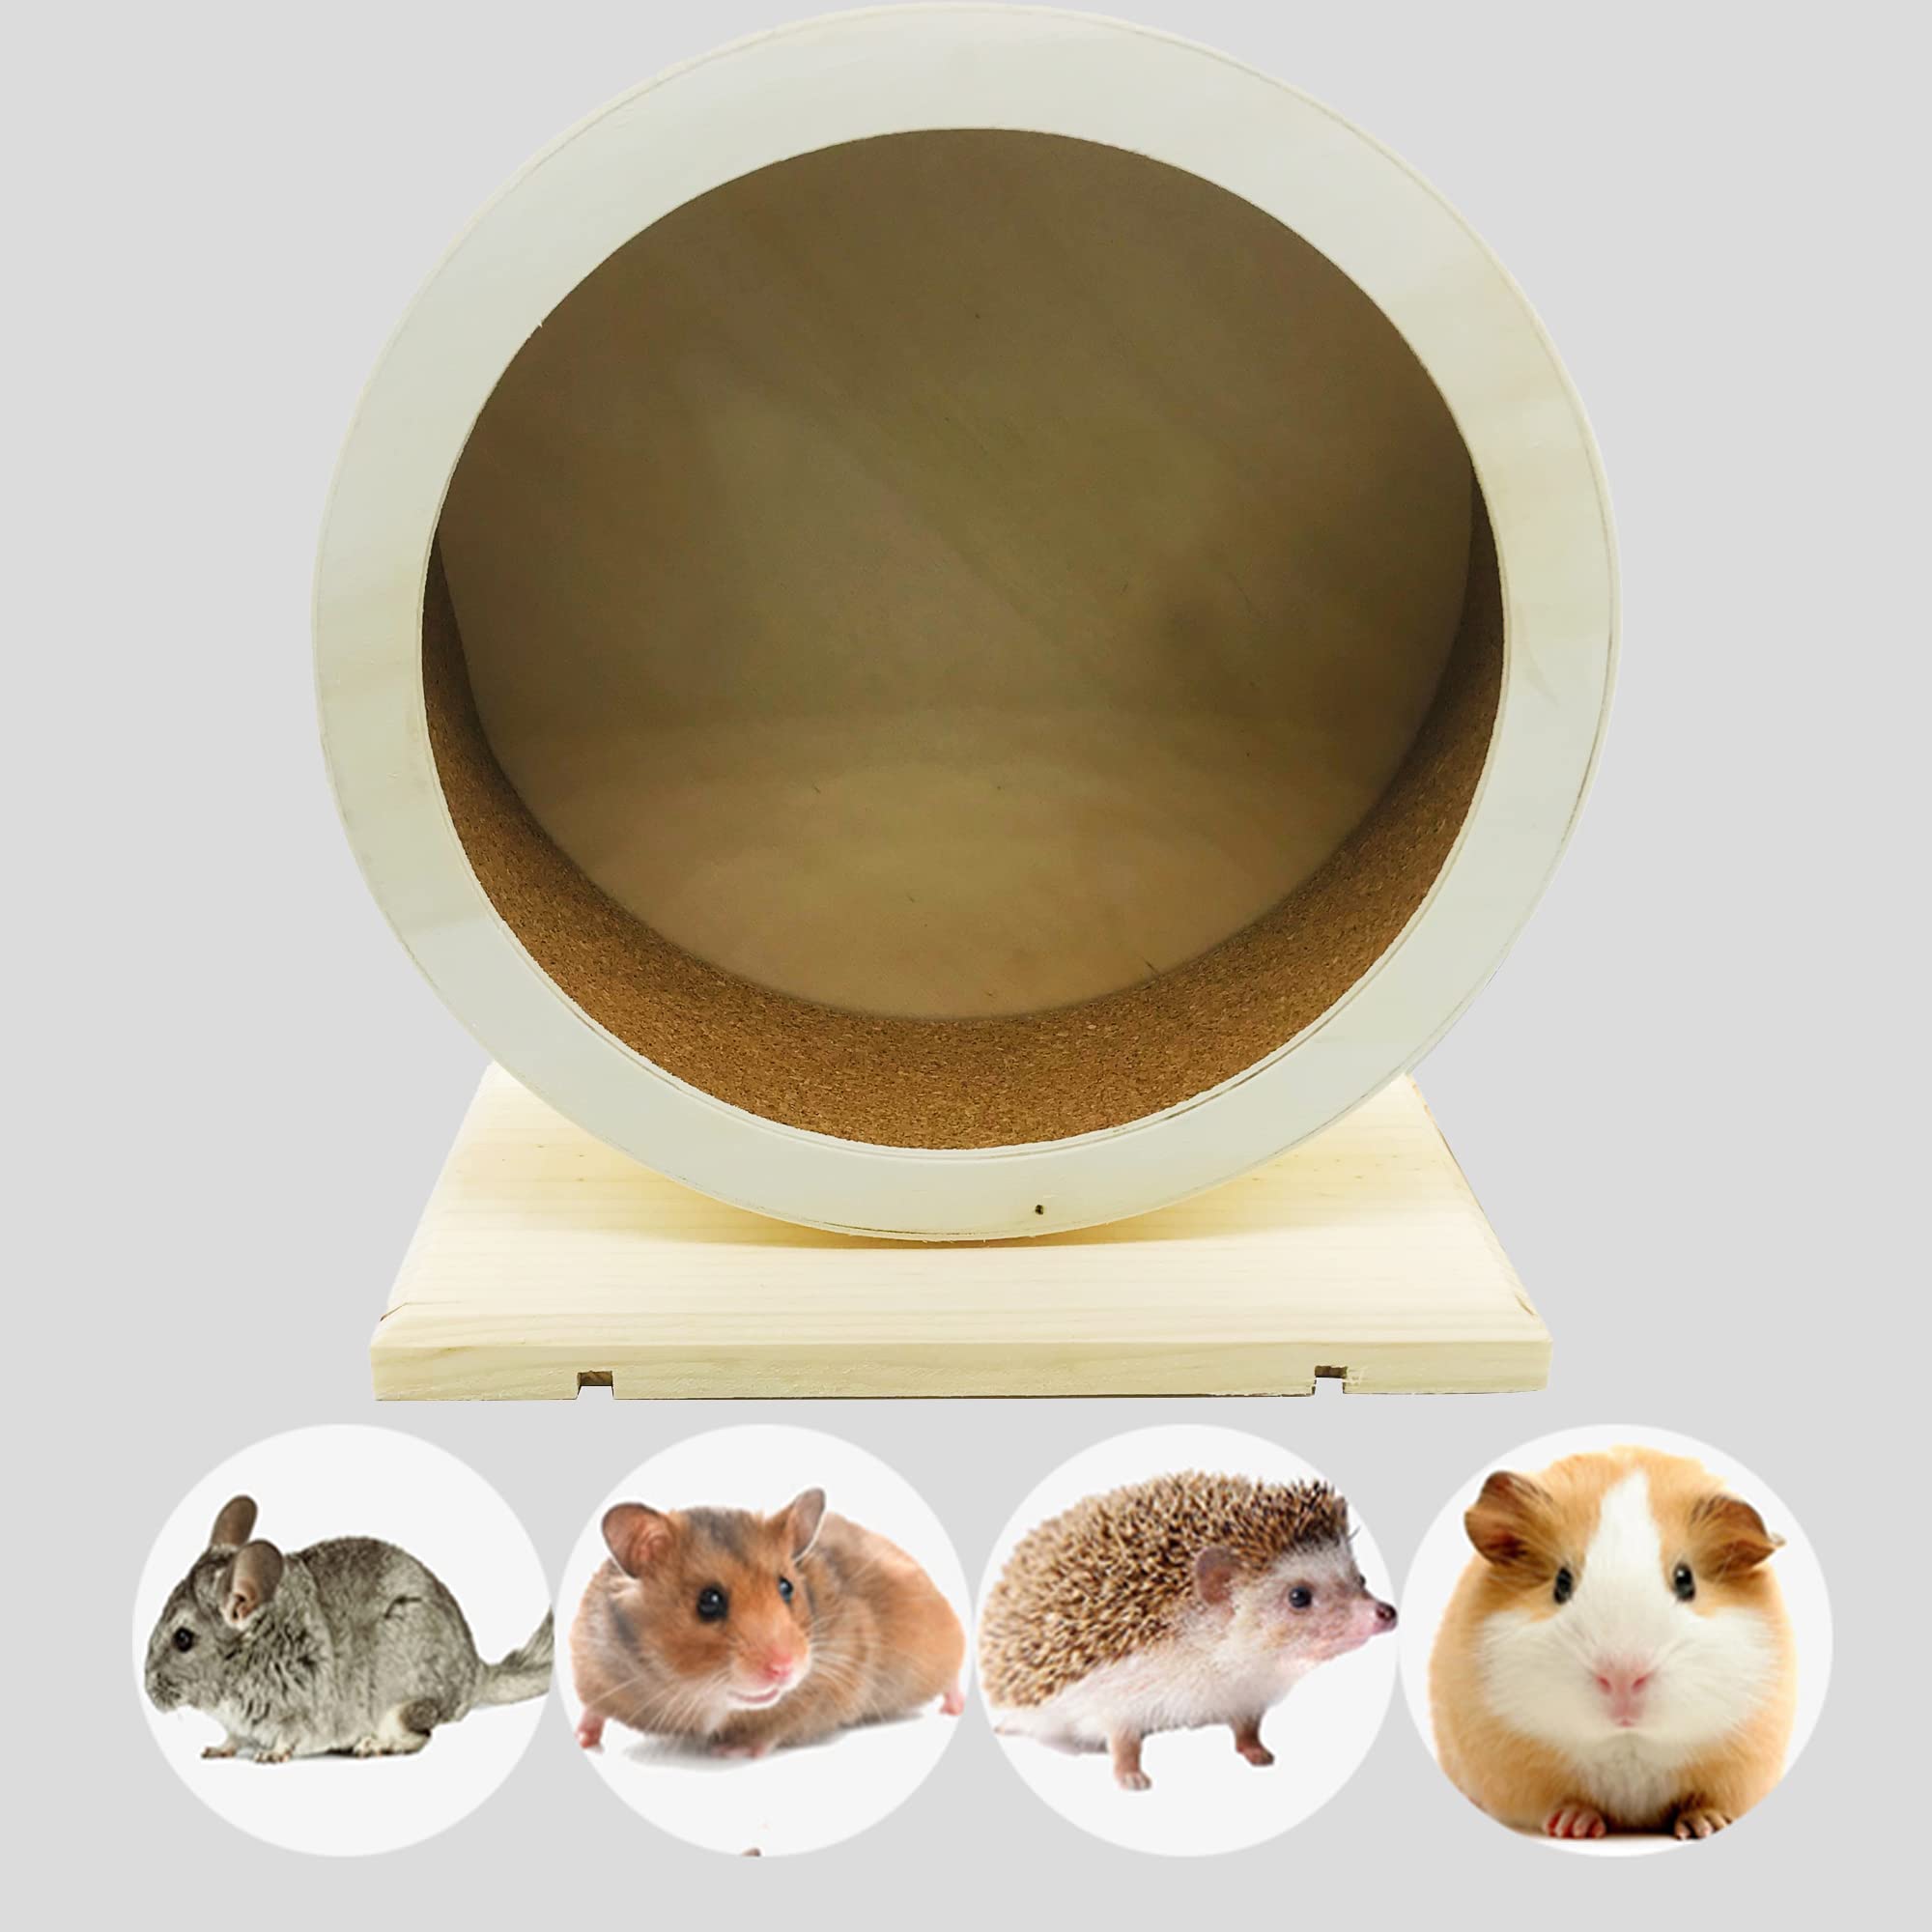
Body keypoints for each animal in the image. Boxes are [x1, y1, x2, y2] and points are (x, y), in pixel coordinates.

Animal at [143, 1494, 553, 1762]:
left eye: (183, 1639)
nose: (148, 1692)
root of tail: (474, 1671)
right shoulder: (237, 1724)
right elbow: (231, 1737)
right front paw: (217, 1750)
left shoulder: (301, 1710)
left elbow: (288, 1738)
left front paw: (270, 1756)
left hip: (401, 1699)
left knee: (420, 1735)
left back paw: (374, 1745)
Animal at [570, 1487, 965, 1756]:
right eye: (709, 1602)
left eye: (786, 1586)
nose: (784, 1668)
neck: (699, 1694)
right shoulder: (592, 1666)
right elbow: (592, 1708)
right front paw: (582, 1741)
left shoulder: (828, 1681)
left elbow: (776, 1726)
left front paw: (730, 1751)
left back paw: (953, 1707)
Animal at [980, 1474, 1397, 1790]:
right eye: (1299, 1596)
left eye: (1360, 1578)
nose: (1386, 1613)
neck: (1223, 1665)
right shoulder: (1116, 1687)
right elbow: (1122, 1737)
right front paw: (1130, 1776)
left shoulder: (1248, 1694)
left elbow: (1247, 1726)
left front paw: (1257, 1752)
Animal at [1429, 1446, 1796, 1840]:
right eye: (1561, 1583)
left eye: (1686, 1581)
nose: (1622, 1677)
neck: (1627, 1743)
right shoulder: (1516, 1772)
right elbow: (1558, 1802)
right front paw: (1574, 1825)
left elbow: (1708, 1800)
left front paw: (1706, 1825)